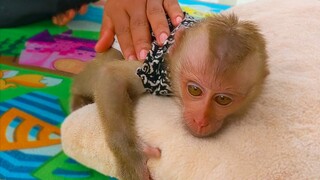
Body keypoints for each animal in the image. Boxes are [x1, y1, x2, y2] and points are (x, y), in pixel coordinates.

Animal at [71, 13, 268, 180]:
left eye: (223, 99)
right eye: (194, 90)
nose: (201, 120)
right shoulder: (152, 70)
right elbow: (111, 77)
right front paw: (132, 157)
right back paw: (77, 96)